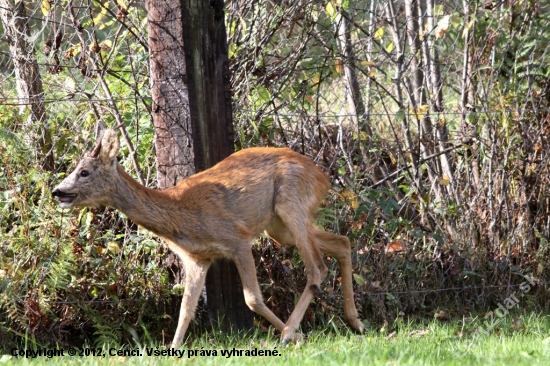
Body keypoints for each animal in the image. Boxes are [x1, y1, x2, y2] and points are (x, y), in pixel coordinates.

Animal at [50, 126, 362, 348]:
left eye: (84, 172)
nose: (57, 191)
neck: (178, 213)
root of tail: (324, 177)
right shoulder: (197, 258)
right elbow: (186, 308)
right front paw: (173, 349)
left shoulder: (237, 238)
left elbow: (252, 299)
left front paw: (295, 336)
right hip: (277, 227)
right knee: (342, 243)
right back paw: (355, 323)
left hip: (291, 202)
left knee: (317, 269)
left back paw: (289, 334)